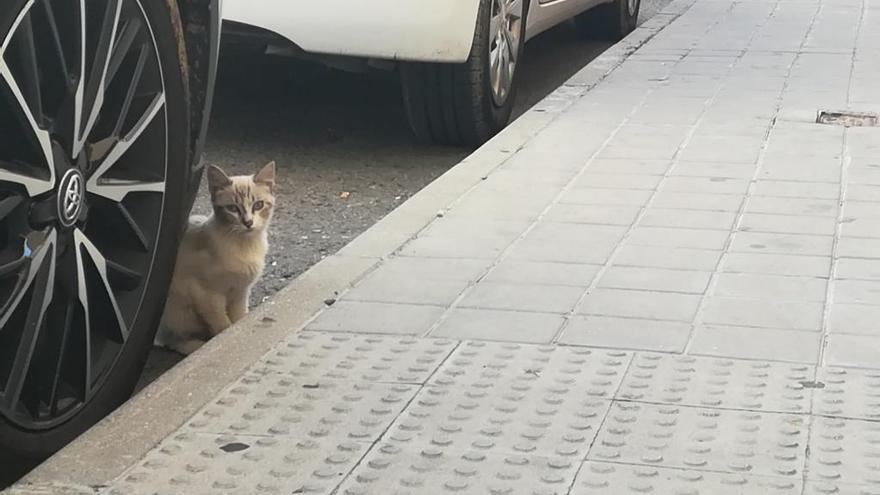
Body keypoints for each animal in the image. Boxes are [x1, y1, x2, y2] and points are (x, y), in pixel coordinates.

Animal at [152, 161, 276, 354]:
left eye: (258, 205)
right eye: (232, 208)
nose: (248, 223)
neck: (245, 246)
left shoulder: (240, 292)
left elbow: (239, 319)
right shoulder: (208, 296)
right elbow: (223, 326)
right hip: (179, 311)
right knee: (172, 339)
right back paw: (195, 346)